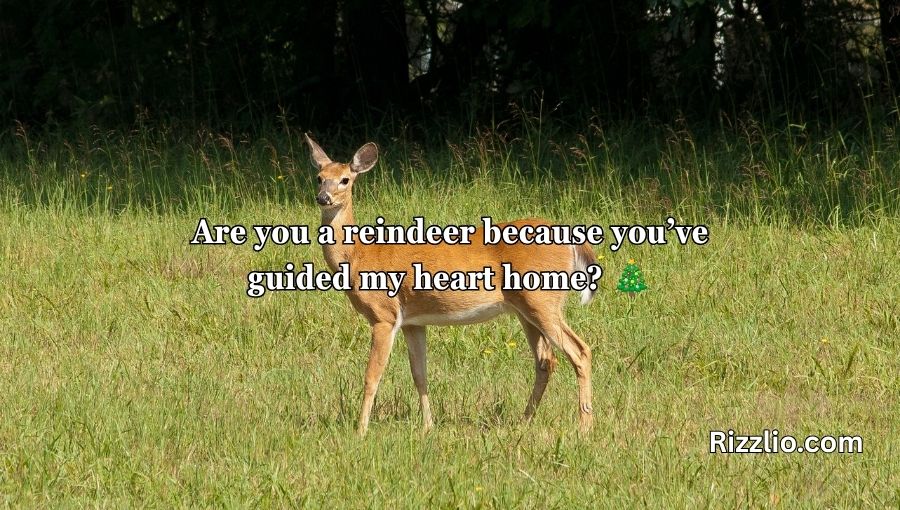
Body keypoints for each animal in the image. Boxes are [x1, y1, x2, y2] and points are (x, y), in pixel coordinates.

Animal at [305, 134, 597, 435]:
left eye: (345, 180)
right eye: (319, 177)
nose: (323, 197)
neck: (359, 255)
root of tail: (571, 240)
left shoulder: (383, 315)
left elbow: (372, 375)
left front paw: (360, 430)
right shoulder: (412, 321)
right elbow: (419, 374)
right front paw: (428, 427)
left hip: (542, 300)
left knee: (580, 351)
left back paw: (585, 426)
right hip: (525, 309)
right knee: (545, 360)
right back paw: (524, 421)